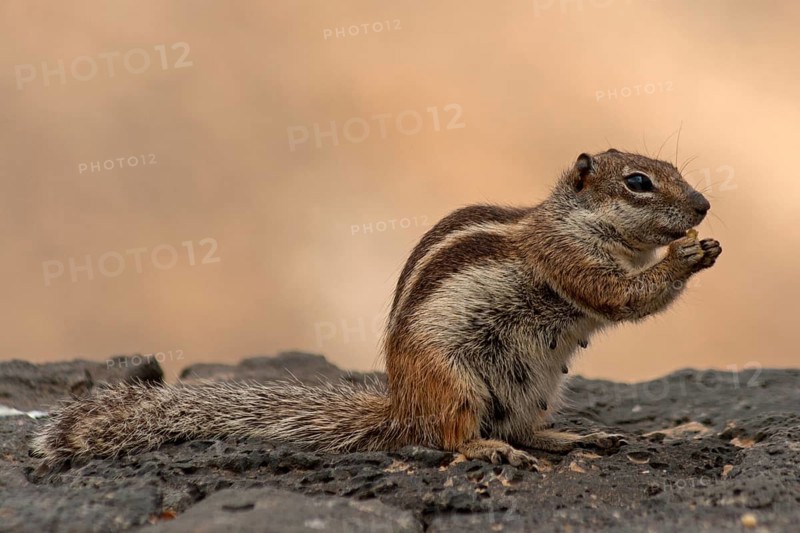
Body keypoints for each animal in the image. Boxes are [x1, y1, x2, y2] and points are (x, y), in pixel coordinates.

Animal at [33, 149, 721, 468]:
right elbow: (620, 295)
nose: (704, 206)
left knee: (524, 428)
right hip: (455, 383)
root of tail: (402, 404)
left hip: (536, 386)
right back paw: (486, 451)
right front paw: (687, 256)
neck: (581, 222)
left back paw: (572, 436)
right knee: (452, 438)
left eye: (674, 168)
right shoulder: (565, 257)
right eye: (638, 182)